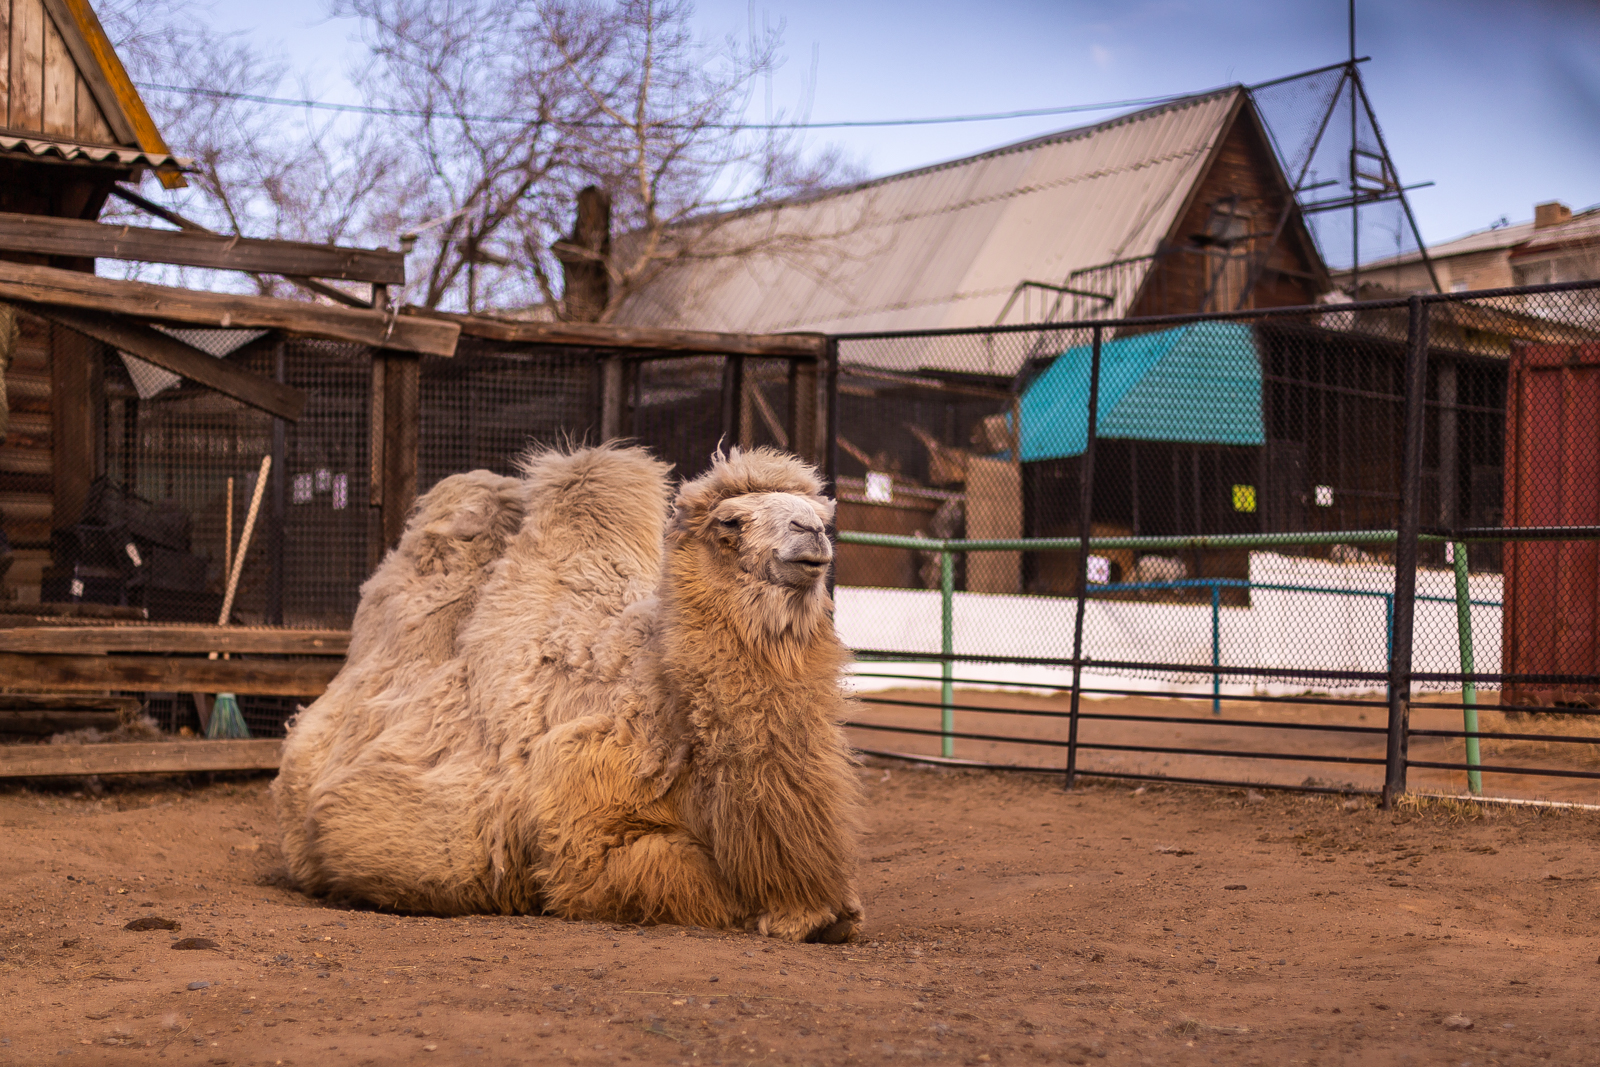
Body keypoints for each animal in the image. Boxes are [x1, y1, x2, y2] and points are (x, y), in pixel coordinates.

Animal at [272, 447, 864, 947]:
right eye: (730, 523)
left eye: (820, 512)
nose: (811, 533)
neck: (663, 704)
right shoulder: (582, 833)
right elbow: (679, 876)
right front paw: (786, 916)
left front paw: (831, 914)